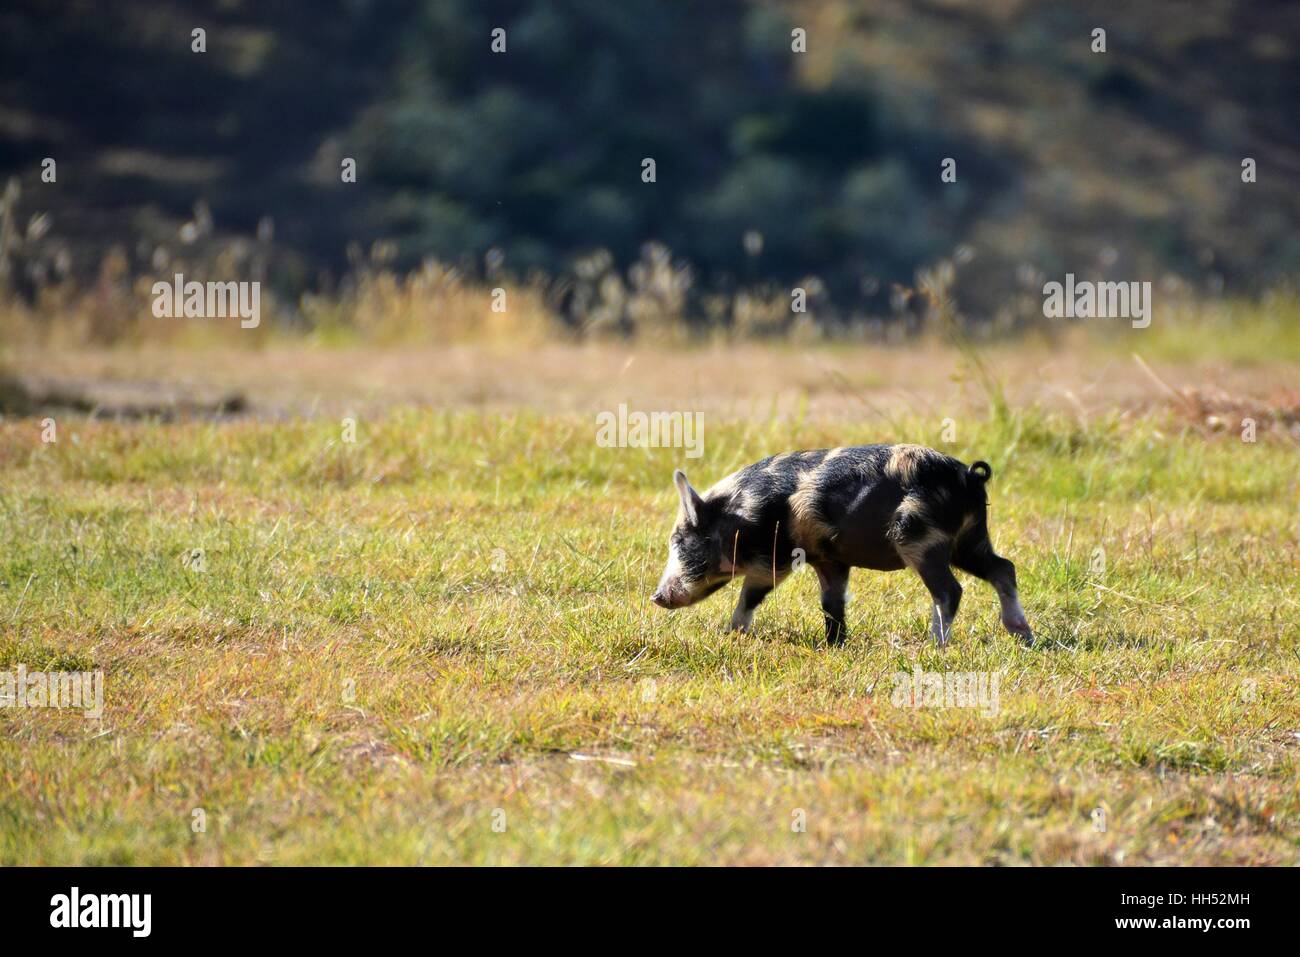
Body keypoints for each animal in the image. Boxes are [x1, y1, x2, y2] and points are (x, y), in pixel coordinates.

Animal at [649, 445, 1032, 646]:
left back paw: (934, 645)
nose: (657, 597)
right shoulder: (830, 559)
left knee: (950, 590)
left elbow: (752, 594)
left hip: (920, 538)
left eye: (681, 541)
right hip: (970, 540)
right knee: (1004, 568)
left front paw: (731, 634)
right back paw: (1022, 636)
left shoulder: (775, 557)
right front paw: (833, 644)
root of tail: (969, 477)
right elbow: (832, 603)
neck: (741, 515)